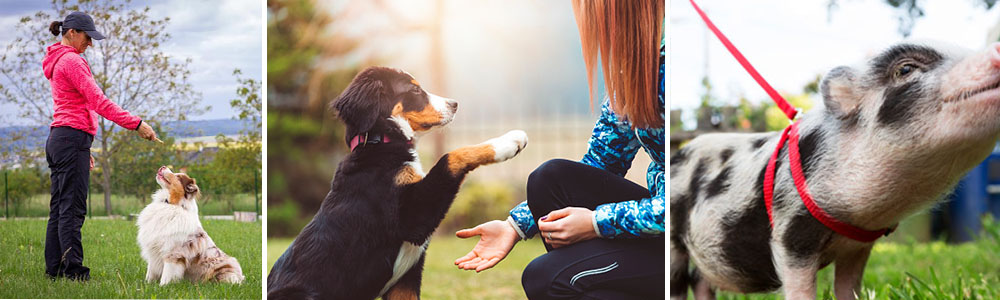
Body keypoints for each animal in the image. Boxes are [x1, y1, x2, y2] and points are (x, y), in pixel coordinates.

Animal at [266, 67, 532, 298]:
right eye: (414, 90)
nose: (455, 104)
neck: (379, 143)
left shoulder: (406, 279)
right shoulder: (411, 217)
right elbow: (451, 156)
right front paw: (508, 142)